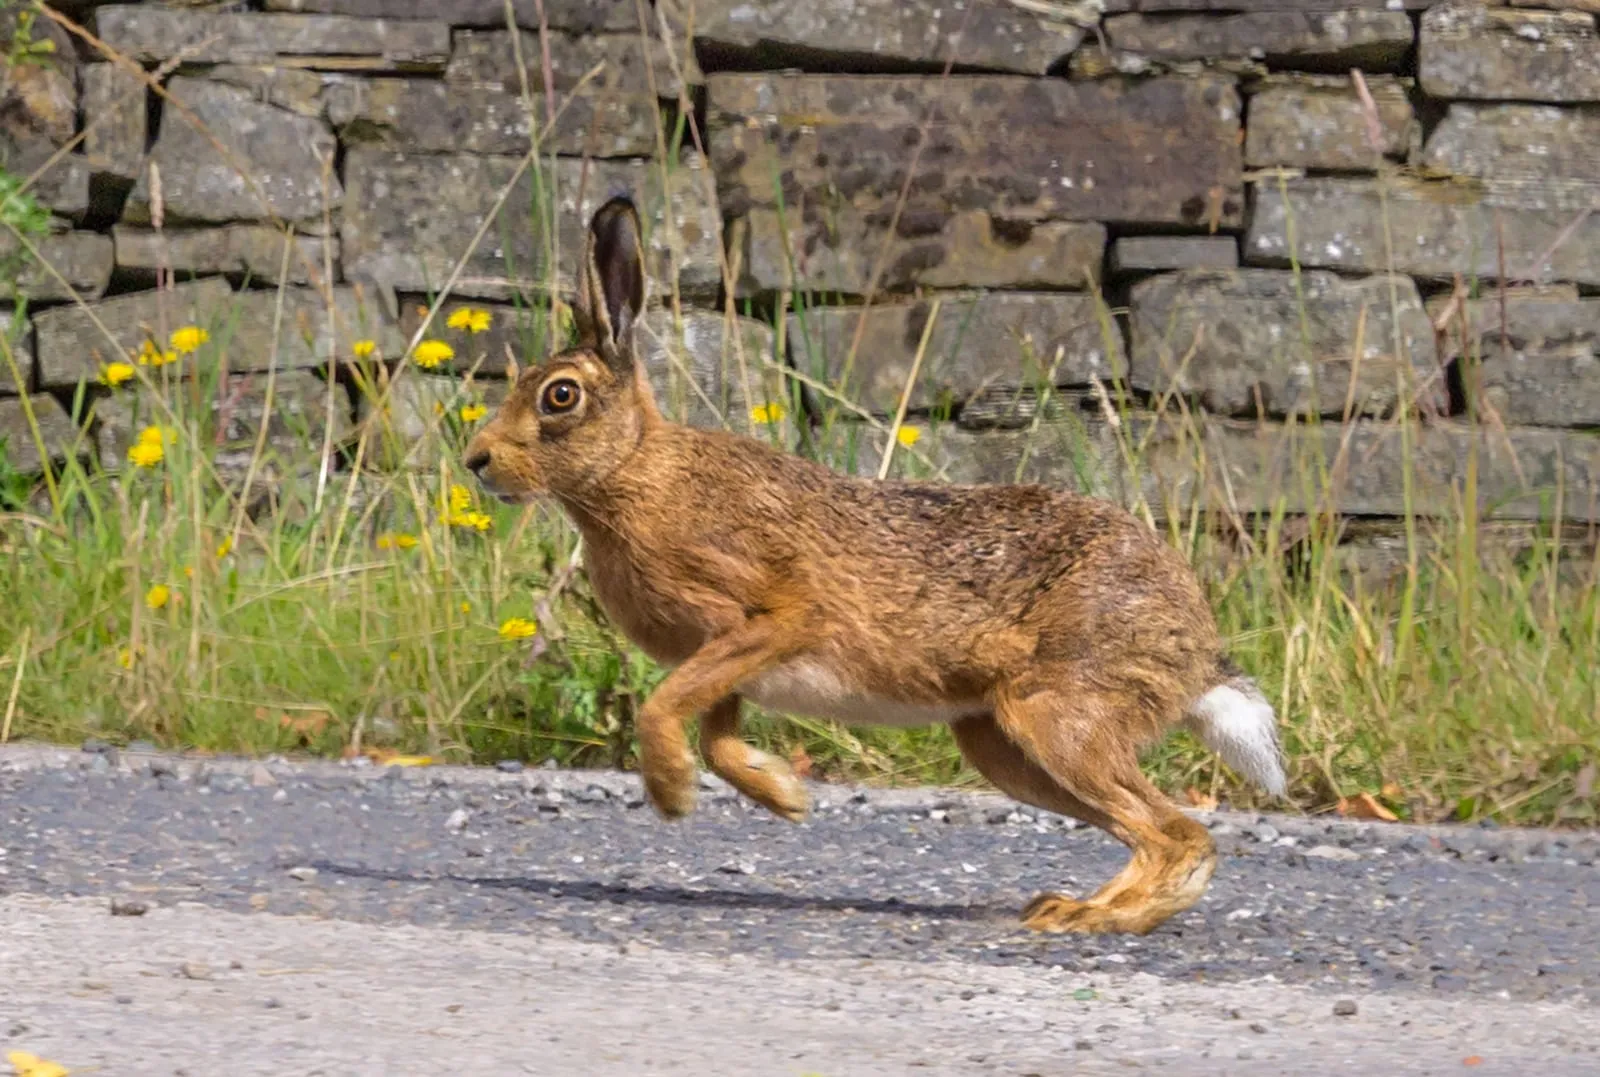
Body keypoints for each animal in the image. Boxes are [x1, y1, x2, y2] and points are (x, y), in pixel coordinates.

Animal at [463, 195, 1287, 936]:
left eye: (559, 396)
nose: (477, 460)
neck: (633, 472)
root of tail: (1195, 647)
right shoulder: (725, 656)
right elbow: (716, 736)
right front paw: (784, 794)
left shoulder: (773, 618)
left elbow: (663, 708)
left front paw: (673, 794)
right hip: (1002, 743)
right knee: (1153, 830)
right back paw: (1073, 906)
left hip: (1058, 715)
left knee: (1180, 835)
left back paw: (1097, 918)